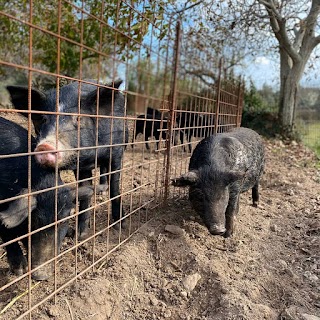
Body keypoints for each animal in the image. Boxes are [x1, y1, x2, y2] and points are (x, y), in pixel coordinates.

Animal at [6, 80, 128, 240]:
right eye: (43, 119)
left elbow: (115, 189)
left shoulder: (117, 153)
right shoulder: (81, 168)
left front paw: (120, 225)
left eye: (78, 118)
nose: (45, 146)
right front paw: (80, 235)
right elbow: (86, 192)